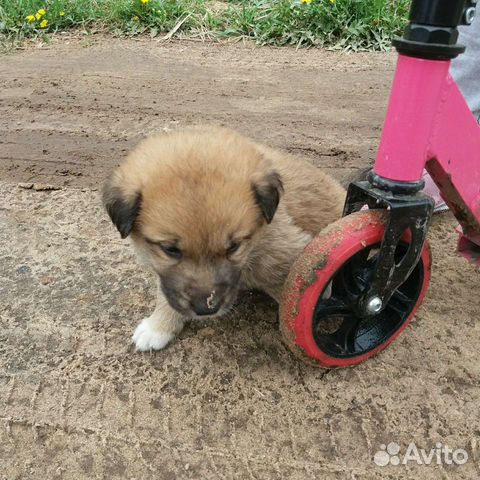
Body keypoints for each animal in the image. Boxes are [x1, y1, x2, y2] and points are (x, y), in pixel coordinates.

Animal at [104, 126, 344, 352]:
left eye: (234, 247)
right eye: (170, 249)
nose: (206, 309)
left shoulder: (293, 252)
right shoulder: (165, 272)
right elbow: (167, 291)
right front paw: (159, 326)